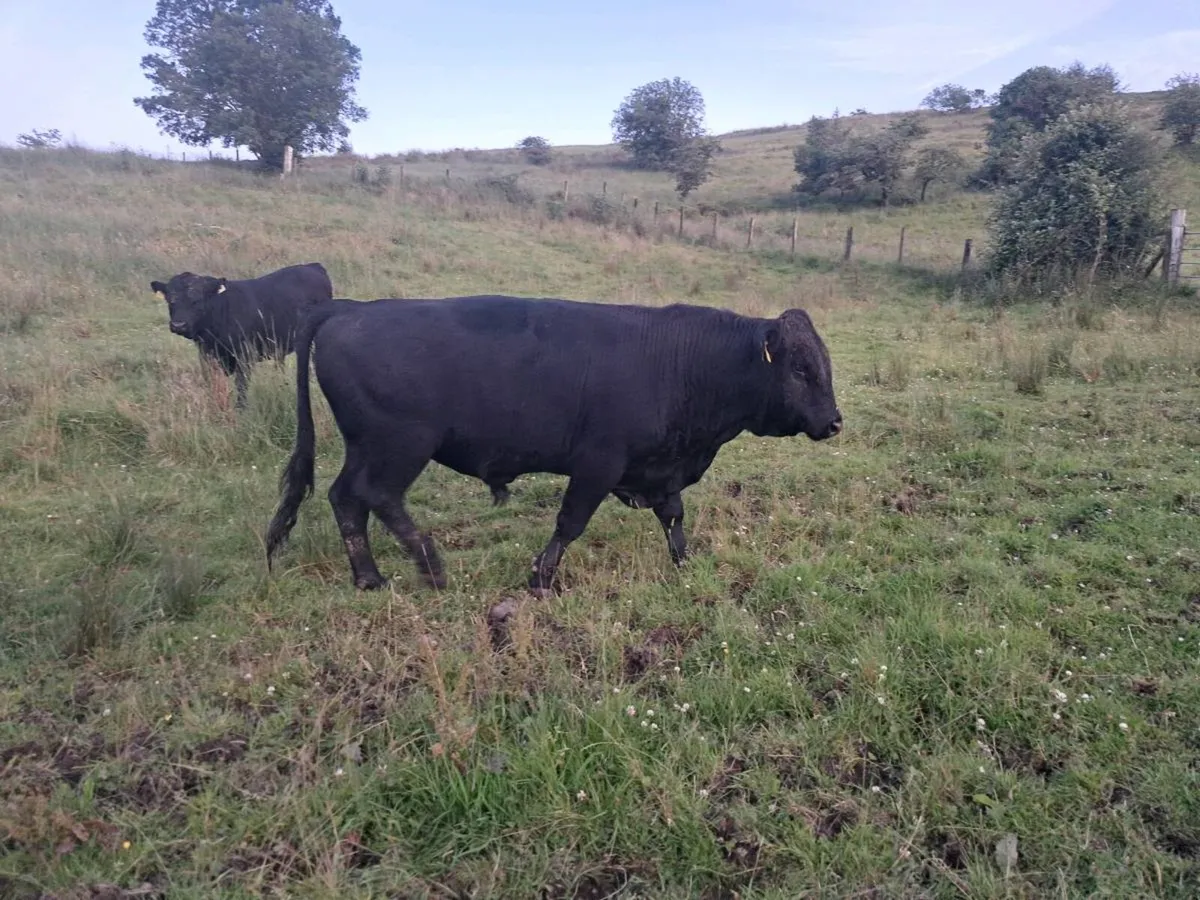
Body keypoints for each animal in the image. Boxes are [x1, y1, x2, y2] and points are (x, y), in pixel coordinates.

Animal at [148, 262, 334, 408]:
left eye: (197, 300)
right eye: (170, 300)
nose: (178, 325)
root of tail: (312, 266)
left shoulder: (244, 356)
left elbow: (241, 385)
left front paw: (241, 409)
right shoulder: (206, 355)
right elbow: (211, 382)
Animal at [264, 294, 843, 597]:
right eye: (799, 368)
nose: (834, 422)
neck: (683, 361)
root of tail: (350, 307)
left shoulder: (661, 468)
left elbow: (673, 516)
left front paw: (684, 563)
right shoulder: (597, 465)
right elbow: (570, 523)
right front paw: (541, 577)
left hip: (369, 448)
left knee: (345, 499)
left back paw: (369, 577)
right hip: (399, 446)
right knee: (377, 498)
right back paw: (430, 565)